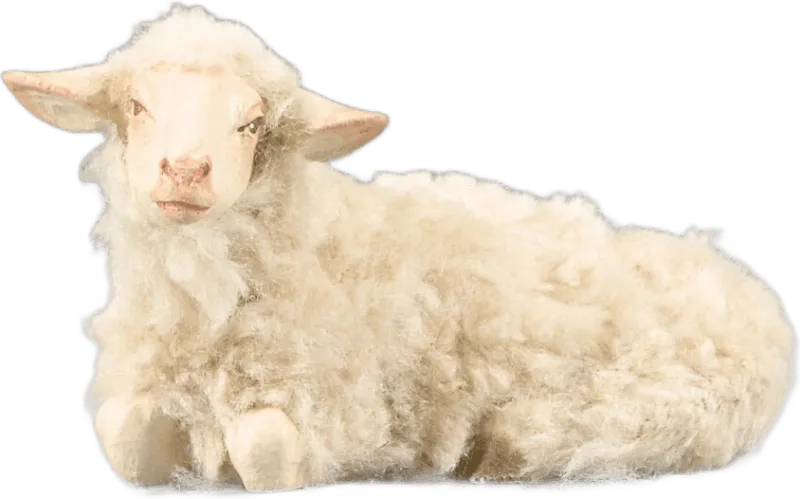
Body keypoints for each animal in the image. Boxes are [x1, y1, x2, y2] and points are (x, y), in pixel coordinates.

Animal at [2, 0, 797, 494]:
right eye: (138, 107)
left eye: (252, 124)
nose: (185, 171)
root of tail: (746, 290)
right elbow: (125, 432)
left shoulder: (353, 415)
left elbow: (265, 449)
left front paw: (235, 462)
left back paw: (504, 453)